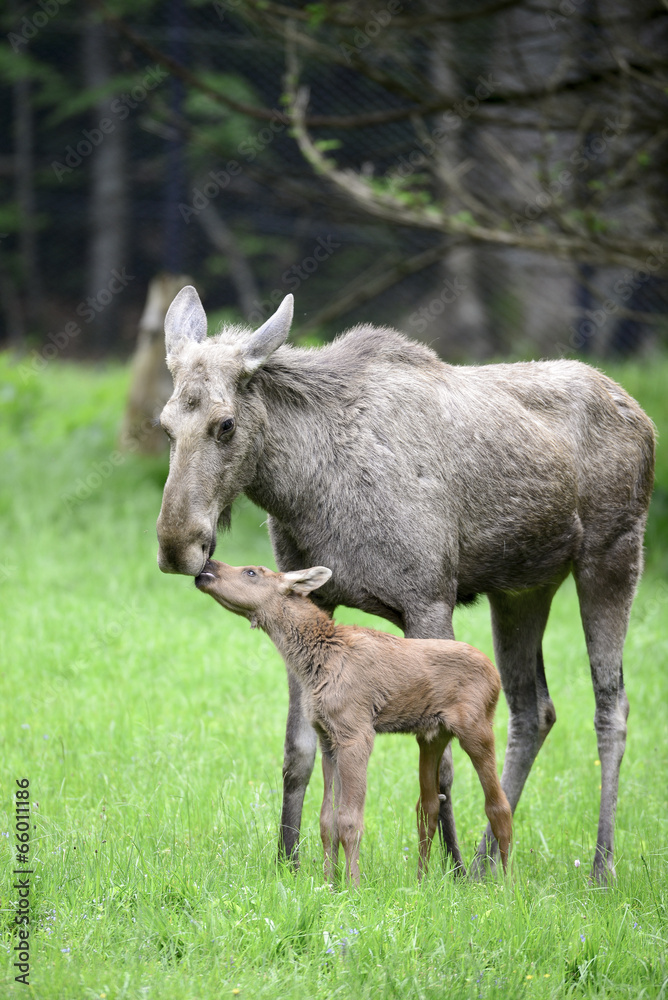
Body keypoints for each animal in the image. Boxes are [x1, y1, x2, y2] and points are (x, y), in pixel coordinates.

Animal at [196, 560, 516, 888]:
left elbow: (350, 820)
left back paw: (506, 884)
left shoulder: (356, 733)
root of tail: (495, 675)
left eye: (251, 572)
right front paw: (329, 882)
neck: (312, 663)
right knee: (428, 807)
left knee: (499, 806)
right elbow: (327, 820)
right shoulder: (327, 738)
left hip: (476, 727)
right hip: (431, 736)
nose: (209, 566)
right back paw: (421, 882)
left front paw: (353, 885)